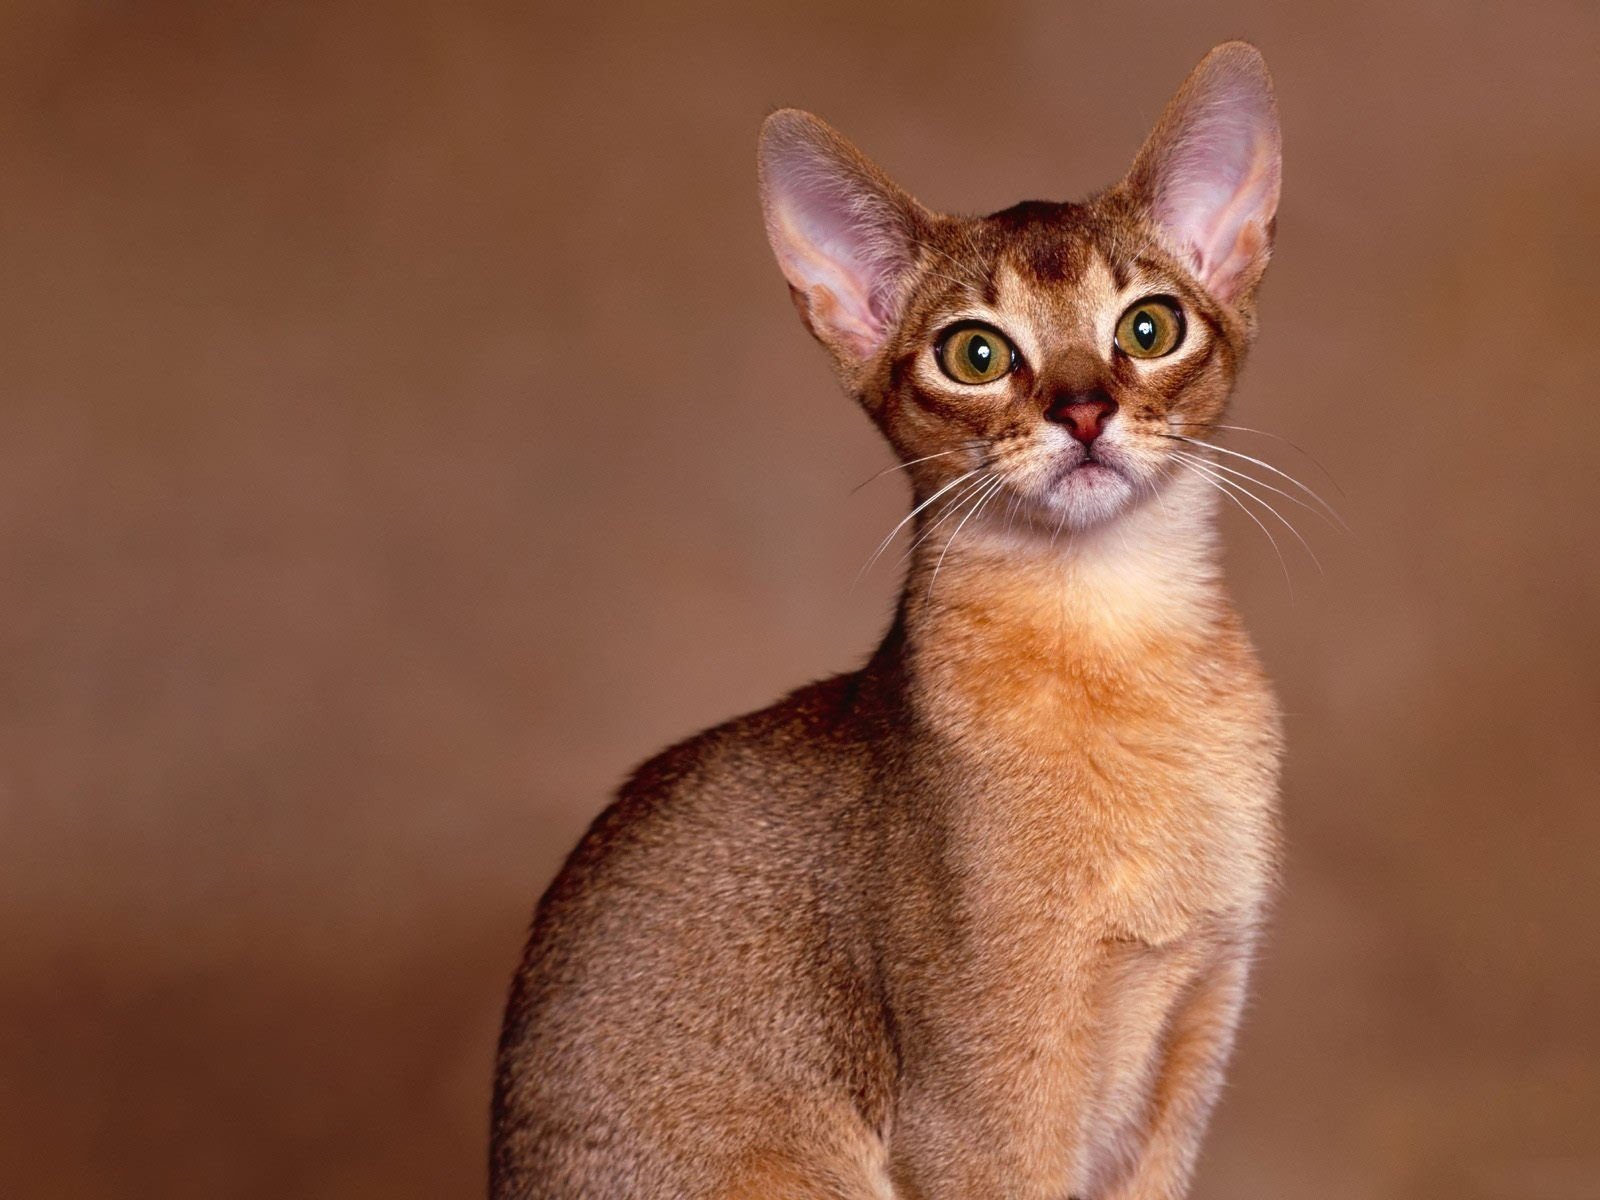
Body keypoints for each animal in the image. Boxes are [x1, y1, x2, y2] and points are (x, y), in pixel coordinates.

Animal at [493, 41, 1285, 1200]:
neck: (1118, 660)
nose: (1084, 410)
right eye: (976, 354)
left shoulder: (1192, 1043)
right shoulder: (982, 1116)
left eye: (1150, 327)